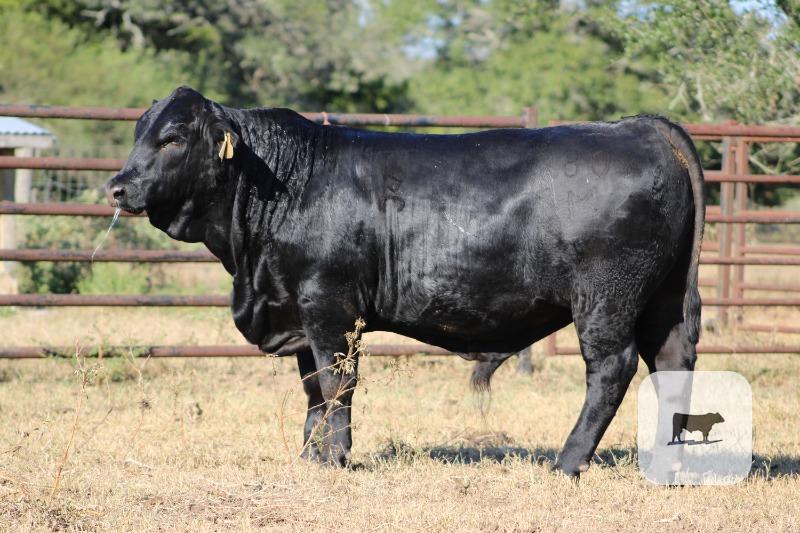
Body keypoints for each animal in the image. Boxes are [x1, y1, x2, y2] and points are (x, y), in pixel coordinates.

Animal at [105, 86, 704, 477]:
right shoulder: (297, 310)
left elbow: (336, 383)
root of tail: (638, 126)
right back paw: (665, 461)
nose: (117, 186)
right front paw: (310, 456)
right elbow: (312, 389)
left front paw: (335, 458)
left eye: (173, 138)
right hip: (664, 298)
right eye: (139, 132)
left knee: (612, 369)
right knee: (672, 361)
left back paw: (568, 462)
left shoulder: (329, 306)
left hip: (606, 299)